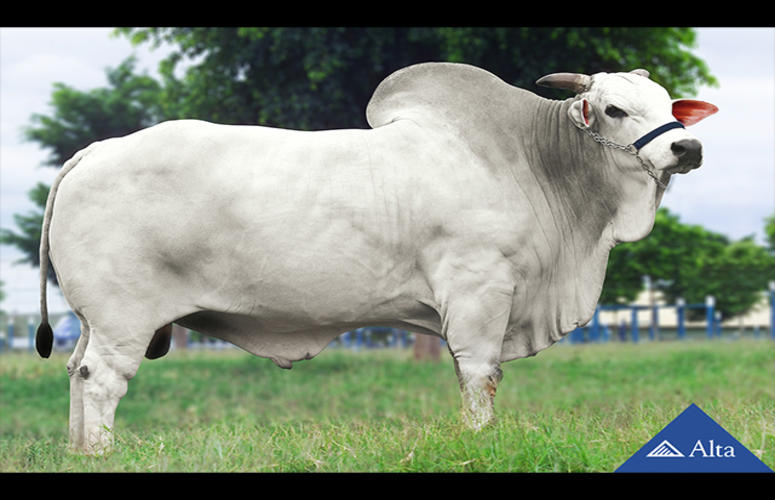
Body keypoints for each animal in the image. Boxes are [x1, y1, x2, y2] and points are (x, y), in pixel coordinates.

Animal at [34, 62, 716, 454]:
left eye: (670, 104)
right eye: (613, 108)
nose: (687, 147)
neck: (532, 161)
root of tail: (95, 150)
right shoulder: (479, 290)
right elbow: (480, 376)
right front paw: (481, 439)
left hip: (94, 320)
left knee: (75, 372)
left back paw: (77, 453)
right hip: (123, 318)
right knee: (103, 379)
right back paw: (101, 454)